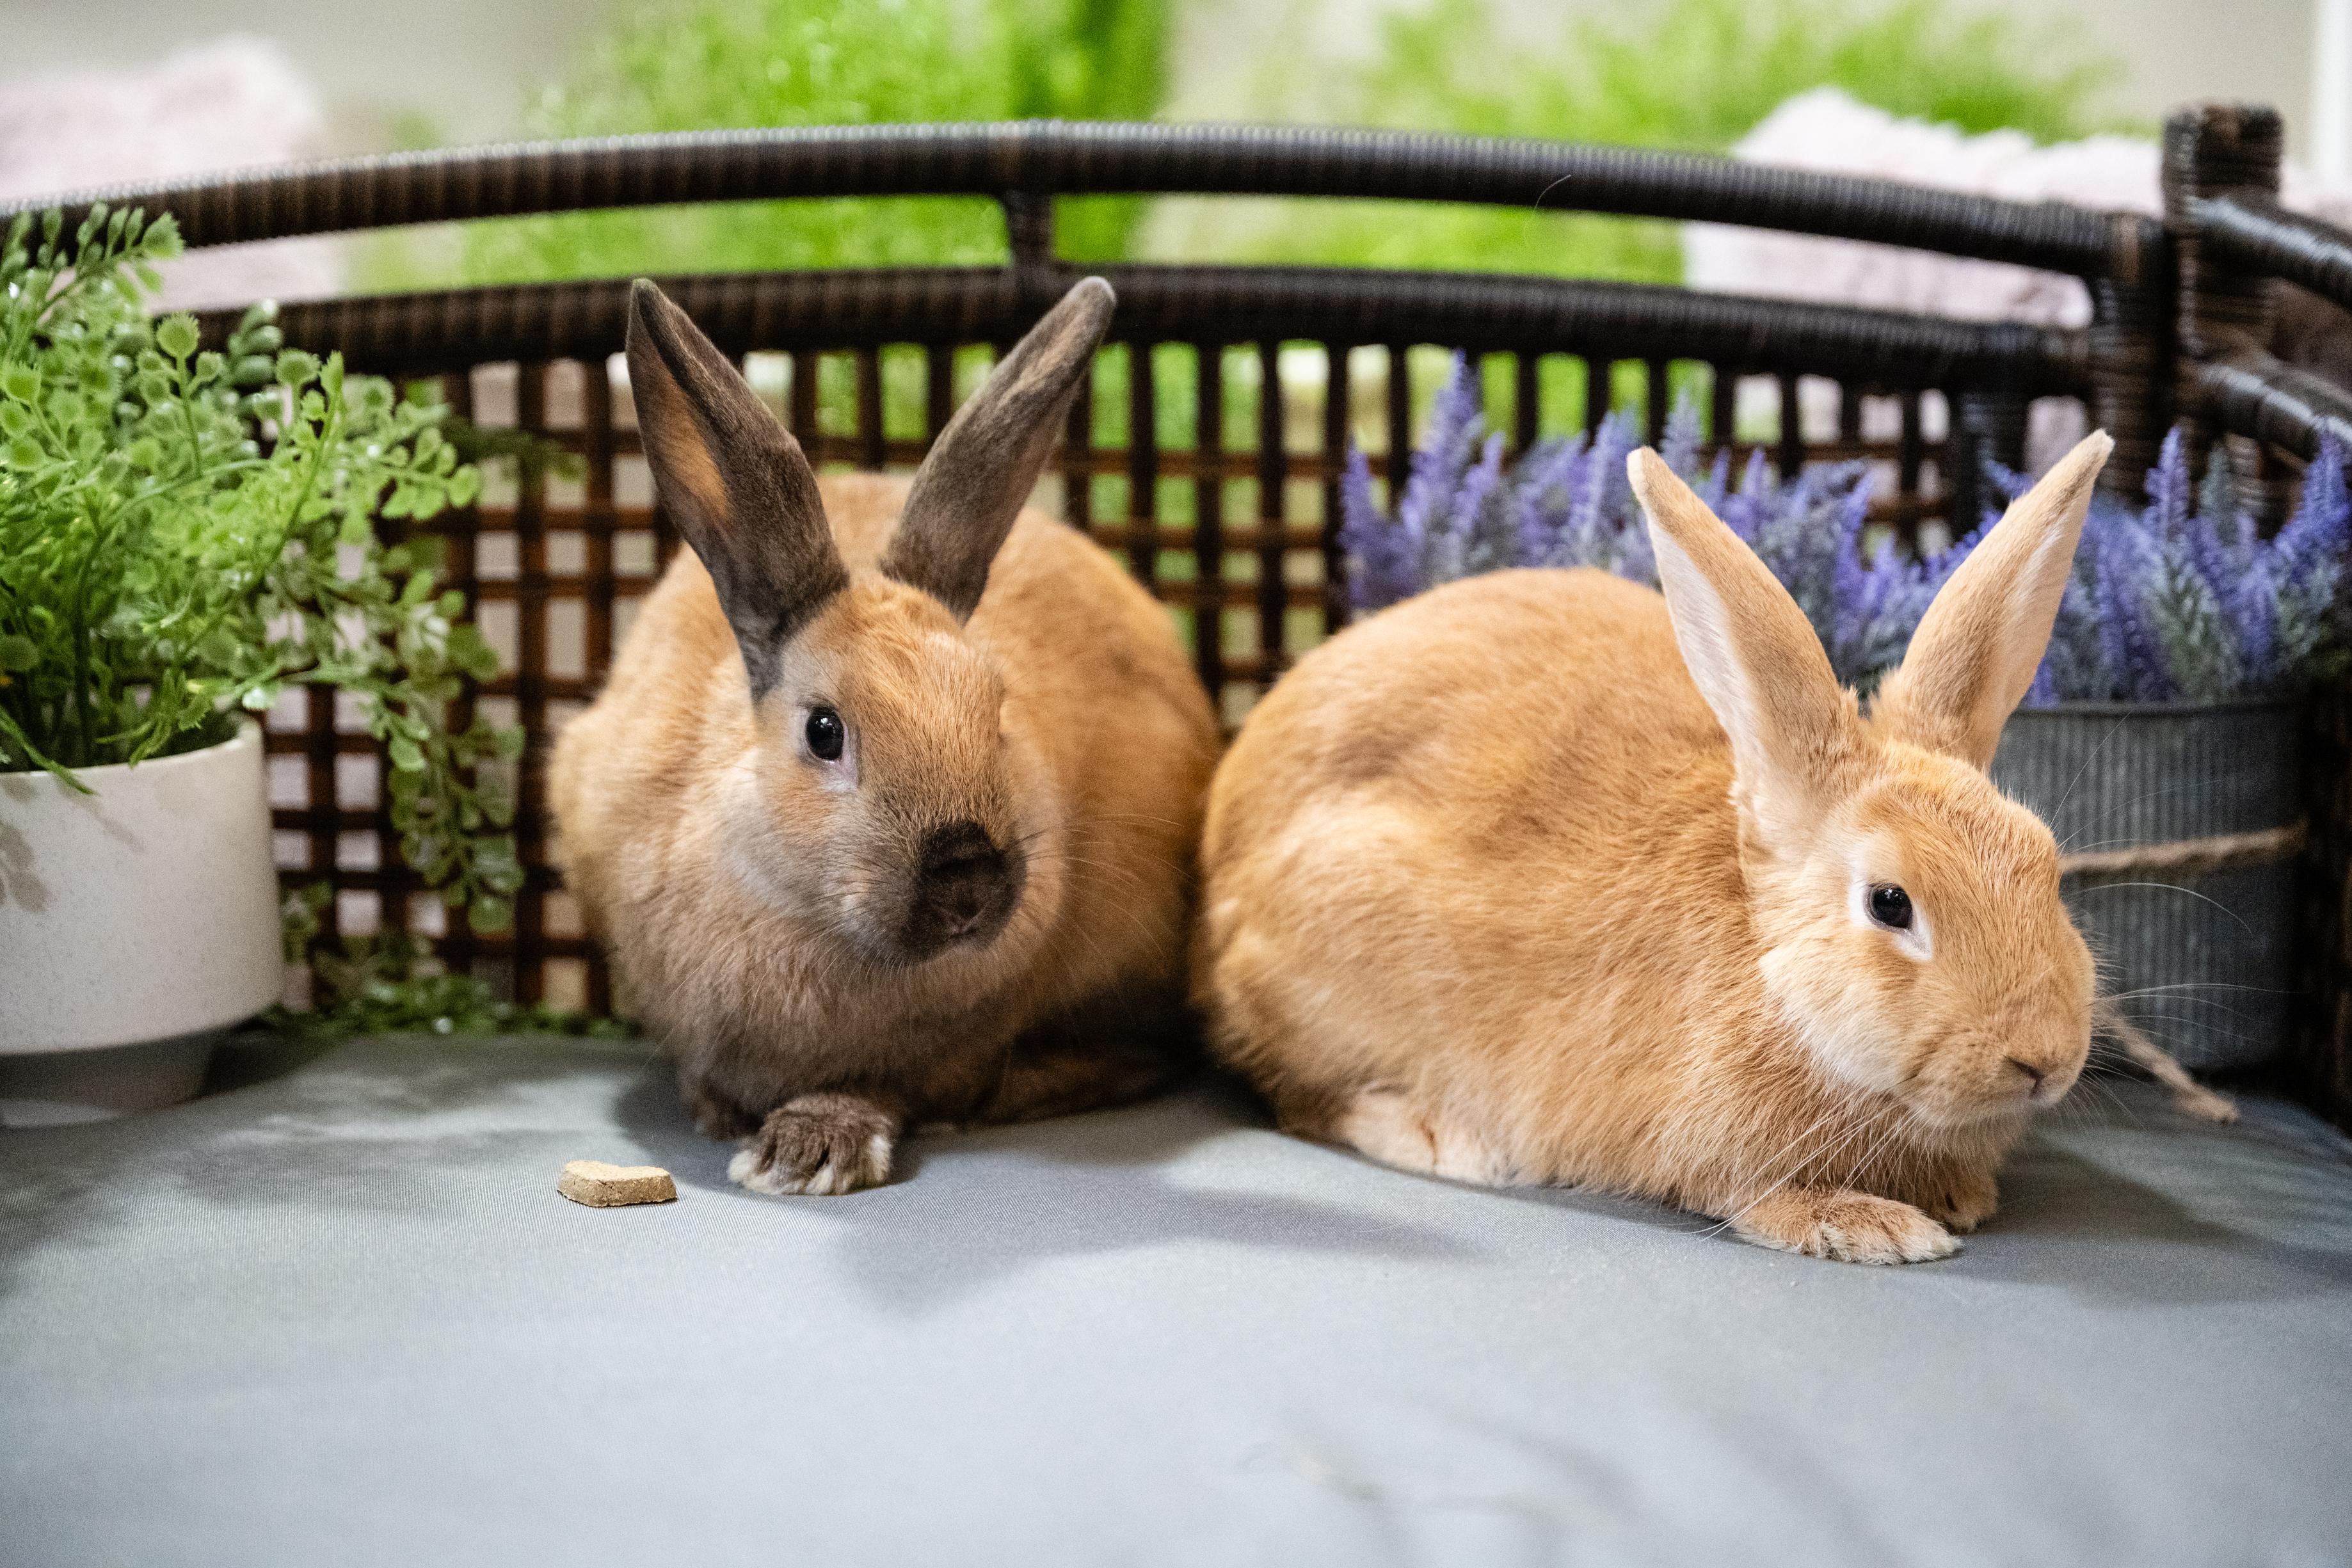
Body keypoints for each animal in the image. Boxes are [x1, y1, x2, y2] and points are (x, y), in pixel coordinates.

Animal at [551, 276, 1220, 1196]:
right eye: (824, 731)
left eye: (997, 711)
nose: (967, 880)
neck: (813, 924)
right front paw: (727, 1117)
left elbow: (884, 1086)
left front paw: (810, 1145)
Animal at [1195, 430, 2118, 1263]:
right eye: (1890, 903)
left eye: (2047, 868)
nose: (2042, 1057)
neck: (1768, 973)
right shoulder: (1704, 1145)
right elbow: (1750, 1194)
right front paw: (1873, 1227)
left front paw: (1961, 1195)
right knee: (1298, 1096)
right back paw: (1441, 1139)